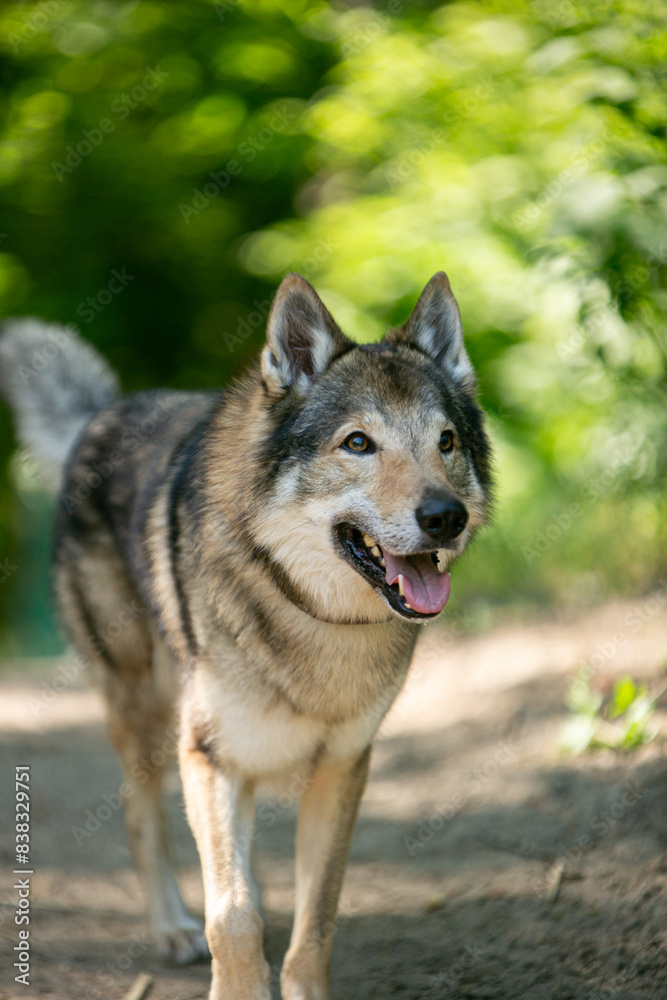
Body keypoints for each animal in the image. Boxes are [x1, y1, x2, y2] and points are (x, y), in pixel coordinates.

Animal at [0, 272, 492, 999]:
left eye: (446, 441)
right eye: (357, 443)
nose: (445, 517)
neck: (313, 619)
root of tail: (104, 412)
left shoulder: (343, 765)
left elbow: (315, 920)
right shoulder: (207, 754)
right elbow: (230, 918)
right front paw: (236, 977)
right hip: (146, 712)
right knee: (140, 815)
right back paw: (174, 926)